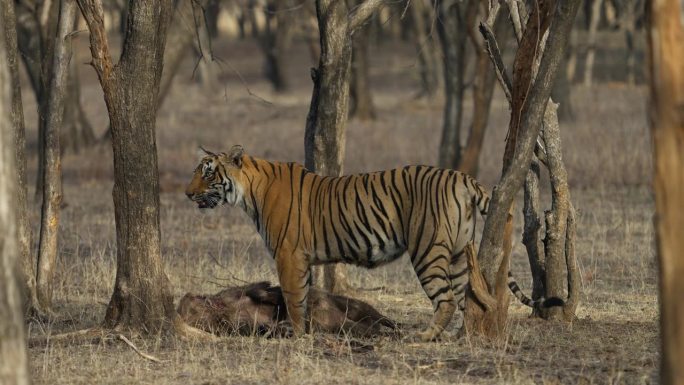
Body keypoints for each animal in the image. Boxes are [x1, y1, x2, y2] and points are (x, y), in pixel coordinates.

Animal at [187, 145, 560, 340]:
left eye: (208, 173)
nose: (187, 194)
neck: (249, 190)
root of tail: (461, 176)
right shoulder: (301, 260)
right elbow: (304, 298)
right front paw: (305, 332)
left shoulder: (289, 256)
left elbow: (294, 300)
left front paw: (296, 335)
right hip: (456, 252)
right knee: (464, 295)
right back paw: (454, 337)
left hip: (427, 250)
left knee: (446, 299)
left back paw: (425, 337)